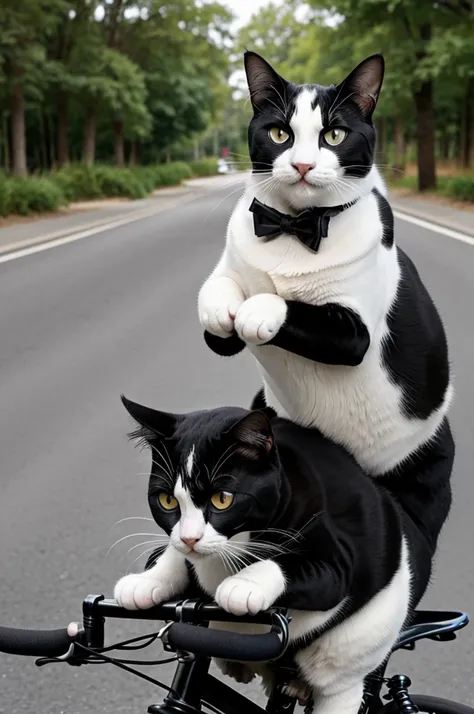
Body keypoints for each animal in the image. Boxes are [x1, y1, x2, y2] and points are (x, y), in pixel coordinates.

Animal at [115, 398, 434, 712]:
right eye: (167, 500)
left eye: (222, 499)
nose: (190, 538)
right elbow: (175, 555)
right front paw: (146, 581)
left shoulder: (338, 552)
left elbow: (295, 566)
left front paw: (243, 585)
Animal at [197, 51, 456, 552]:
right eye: (279, 133)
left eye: (333, 134)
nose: (300, 165)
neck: (293, 228)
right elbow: (217, 297)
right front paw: (222, 308)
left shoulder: (353, 332)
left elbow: (291, 307)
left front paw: (259, 308)